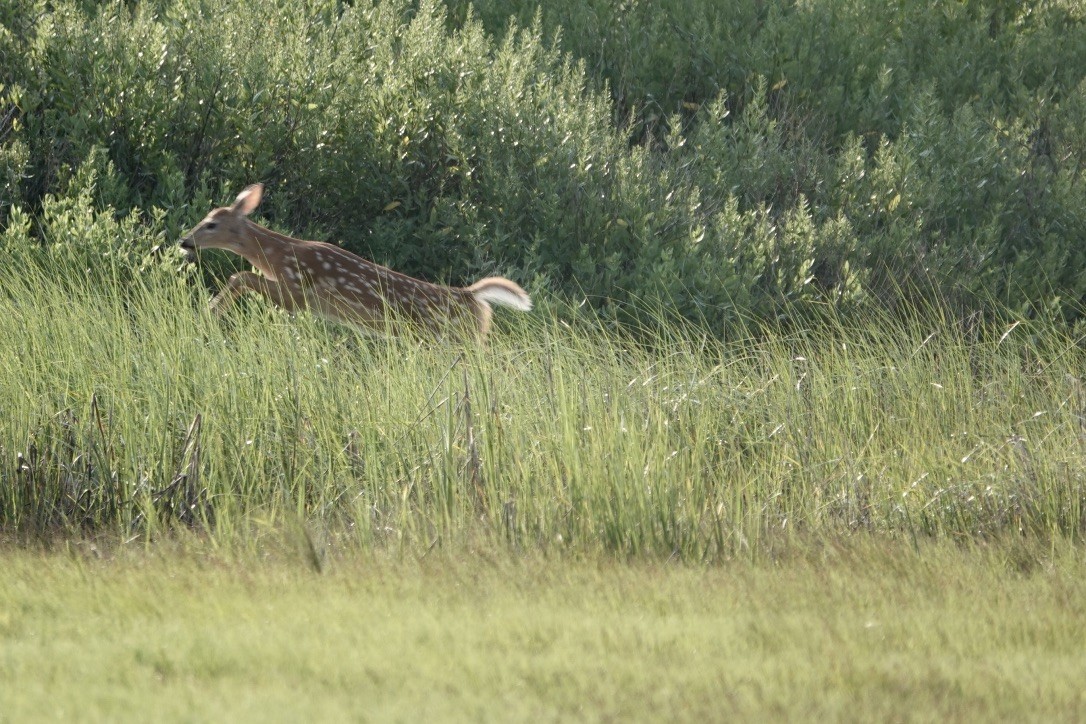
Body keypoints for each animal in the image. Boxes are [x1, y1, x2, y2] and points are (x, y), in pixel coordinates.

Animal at [179, 184, 532, 341]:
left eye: (211, 224)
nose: (184, 242)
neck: (276, 255)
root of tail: (471, 295)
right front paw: (211, 309)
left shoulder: (297, 291)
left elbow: (241, 276)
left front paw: (211, 309)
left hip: (450, 336)